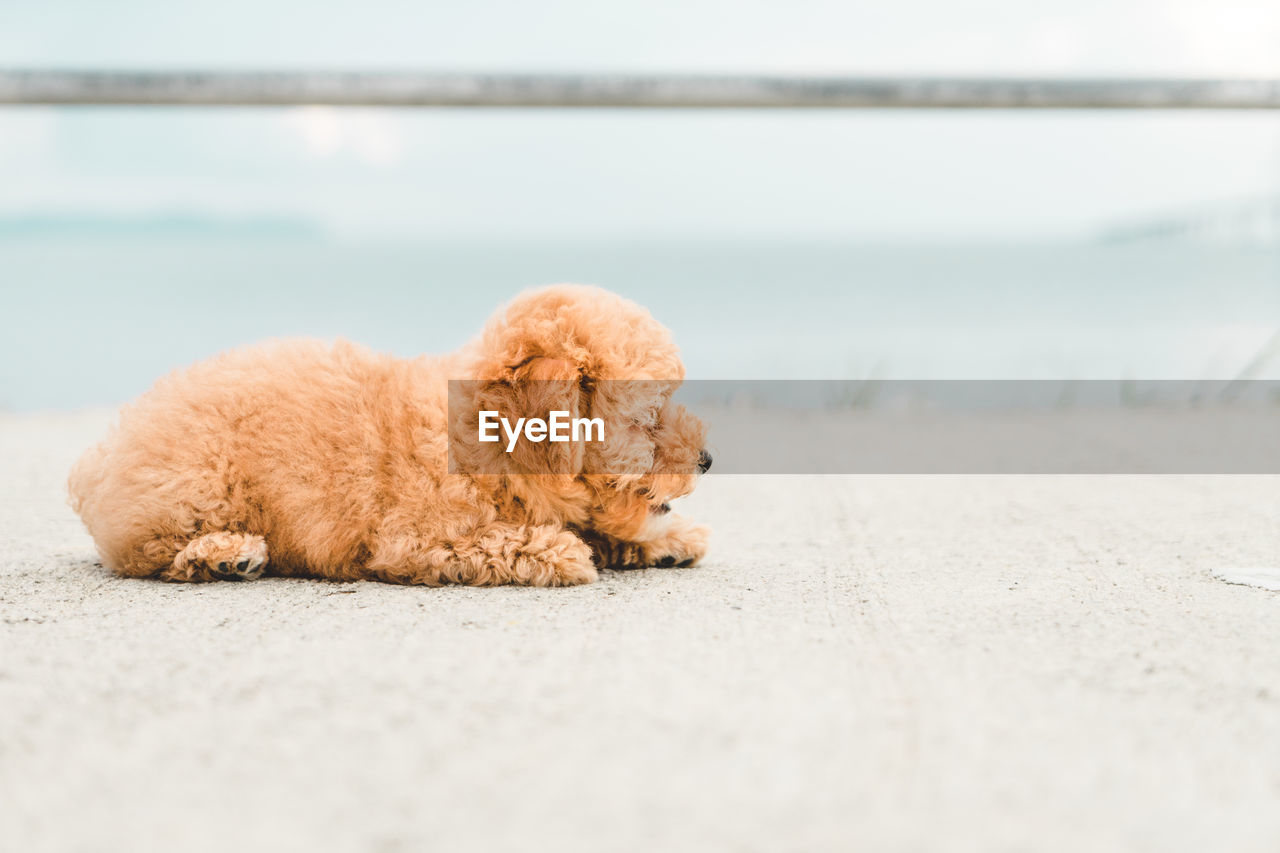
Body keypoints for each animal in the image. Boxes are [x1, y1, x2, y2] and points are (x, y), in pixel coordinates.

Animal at [67, 285, 711, 584]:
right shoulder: (415, 540)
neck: (489, 440)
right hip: (196, 484)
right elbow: (504, 542)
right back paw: (226, 555)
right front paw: (562, 551)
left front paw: (669, 538)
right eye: (650, 417)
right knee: (149, 555)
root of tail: (96, 462)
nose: (707, 459)